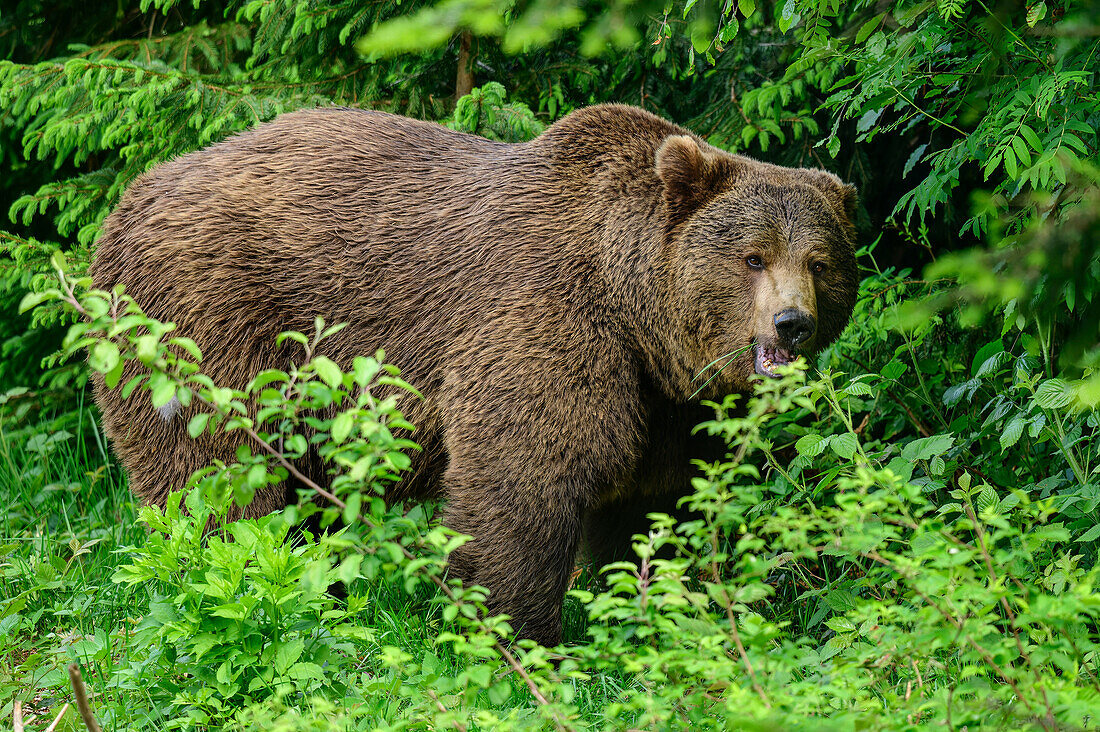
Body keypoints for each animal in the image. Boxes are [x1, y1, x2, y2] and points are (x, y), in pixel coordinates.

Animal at [90, 104, 858, 647]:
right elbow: (521, 478)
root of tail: (128, 198)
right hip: (209, 321)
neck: (633, 309)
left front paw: (649, 608)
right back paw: (237, 588)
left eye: (820, 262)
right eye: (753, 257)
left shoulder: (668, 401)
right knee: (216, 476)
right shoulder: (544, 317)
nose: (792, 322)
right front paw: (520, 635)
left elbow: (655, 505)